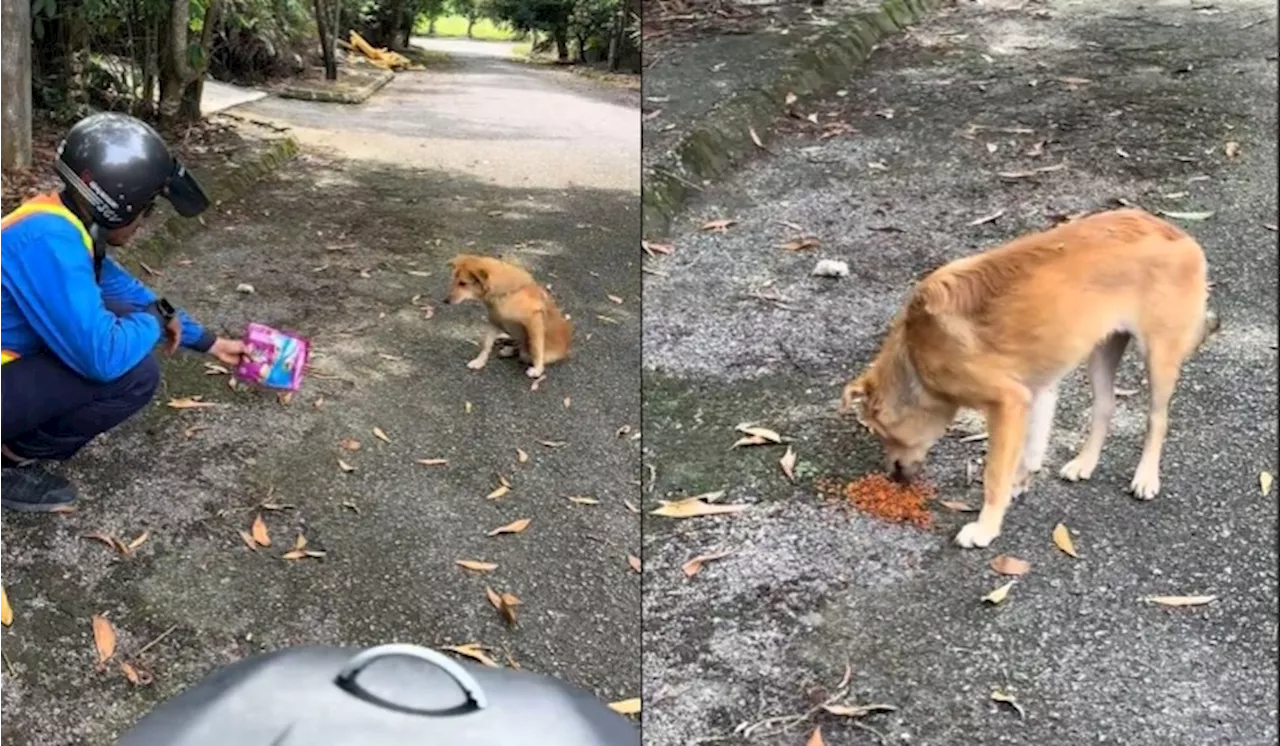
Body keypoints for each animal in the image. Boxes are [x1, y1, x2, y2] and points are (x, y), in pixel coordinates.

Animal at [445, 253, 576, 378]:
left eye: (463, 283)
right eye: (453, 281)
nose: (445, 301)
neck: (507, 294)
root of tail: (566, 349)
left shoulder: (534, 321)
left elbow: (536, 348)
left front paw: (538, 370)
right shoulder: (494, 321)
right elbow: (486, 345)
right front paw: (480, 361)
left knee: (524, 351)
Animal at [839, 208, 1218, 547]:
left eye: (883, 434)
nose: (892, 476)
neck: (915, 353)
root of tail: (1180, 236)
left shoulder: (1007, 401)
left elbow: (994, 474)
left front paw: (986, 527)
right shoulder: (1035, 392)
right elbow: (1032, 449)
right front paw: (1019, 483)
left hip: (1159, 356)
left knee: (1157, 418)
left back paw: (1146, 477)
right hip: (1101, 349)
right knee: (1105, 407)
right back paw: (1085, 462)